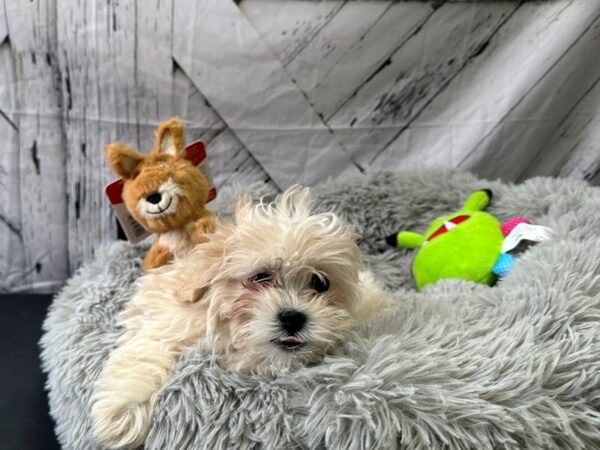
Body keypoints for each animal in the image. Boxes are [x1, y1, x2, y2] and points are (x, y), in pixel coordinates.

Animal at [89, 185, 390, 446]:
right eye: (259, 277)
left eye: (320, 283)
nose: (293, 317)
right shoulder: (167, 318)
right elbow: (147, 350)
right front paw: (122, 411)